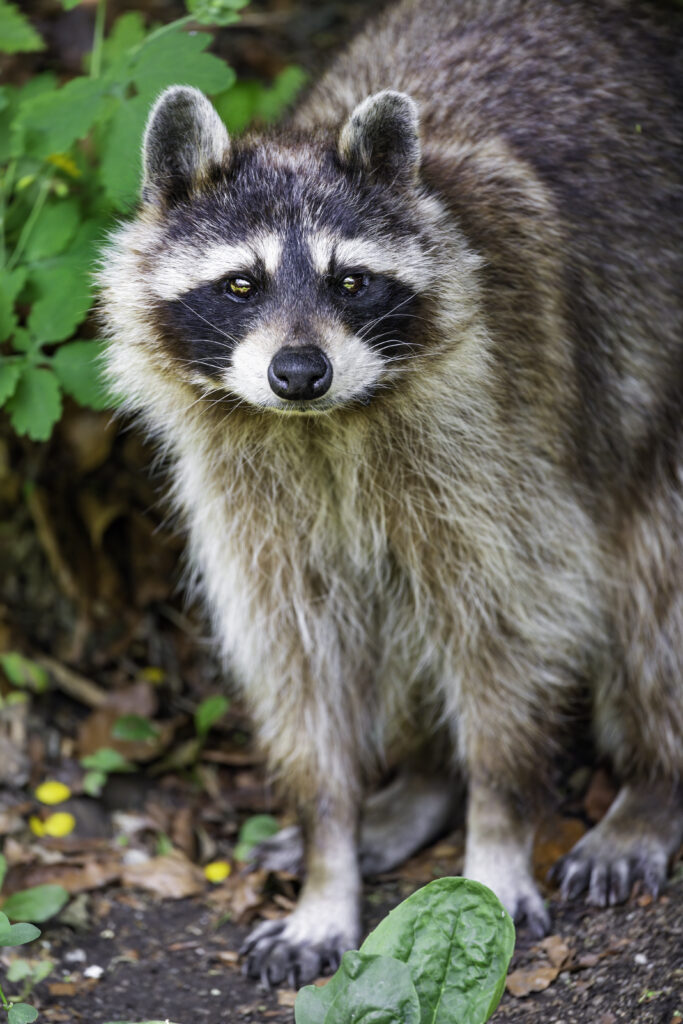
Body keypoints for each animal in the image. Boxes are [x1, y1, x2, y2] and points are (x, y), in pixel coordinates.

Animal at [99, 0, 683, 990]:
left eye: (351, 281)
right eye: (241, 284)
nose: (299, 372)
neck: (324, 427)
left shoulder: (505, 444)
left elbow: (514, 627)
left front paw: (494, 833)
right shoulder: (251, 504)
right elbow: (297, 666)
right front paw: (326, 853)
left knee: (653, 593)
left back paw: (650, 784)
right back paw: (416, 785)